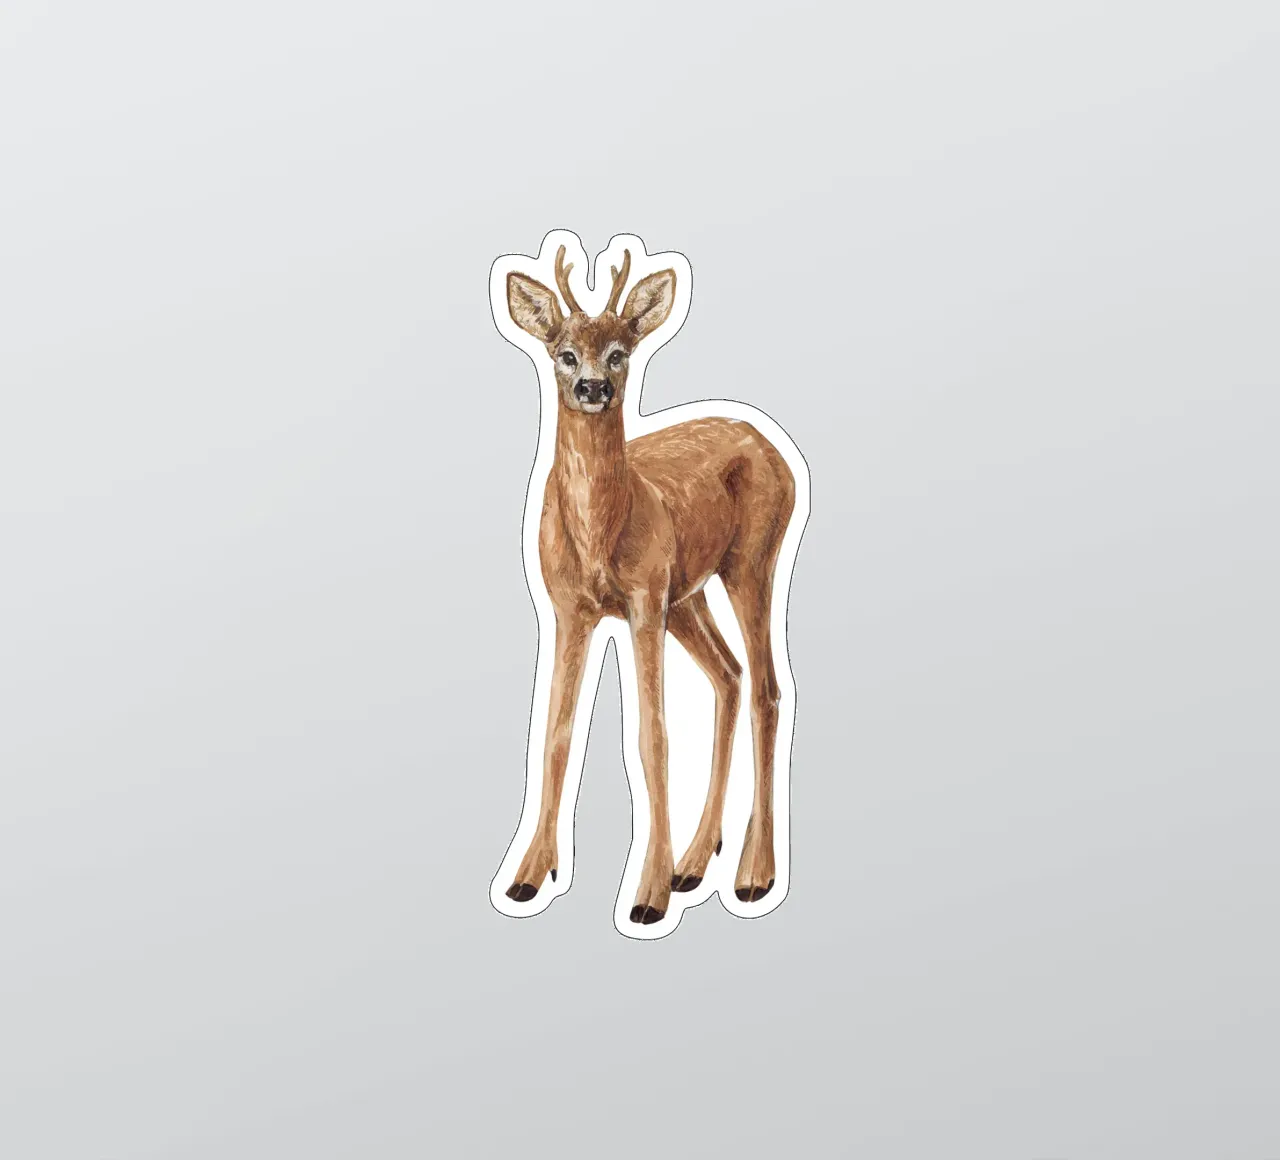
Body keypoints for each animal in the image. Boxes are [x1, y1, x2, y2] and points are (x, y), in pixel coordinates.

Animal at [499, 239, 798, 927]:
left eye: (620, 351)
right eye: (564, 352)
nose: (593, 386)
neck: (600, 535)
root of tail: (771, 445)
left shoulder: (641, 601)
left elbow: (651, 736)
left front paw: (647, 896)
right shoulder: (570, 609)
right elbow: (555, 734)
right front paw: (529, 876)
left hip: (751, 562)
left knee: (768, 687)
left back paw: (752, 875)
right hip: (687, 594)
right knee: (730, 675)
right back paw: (695, 862)